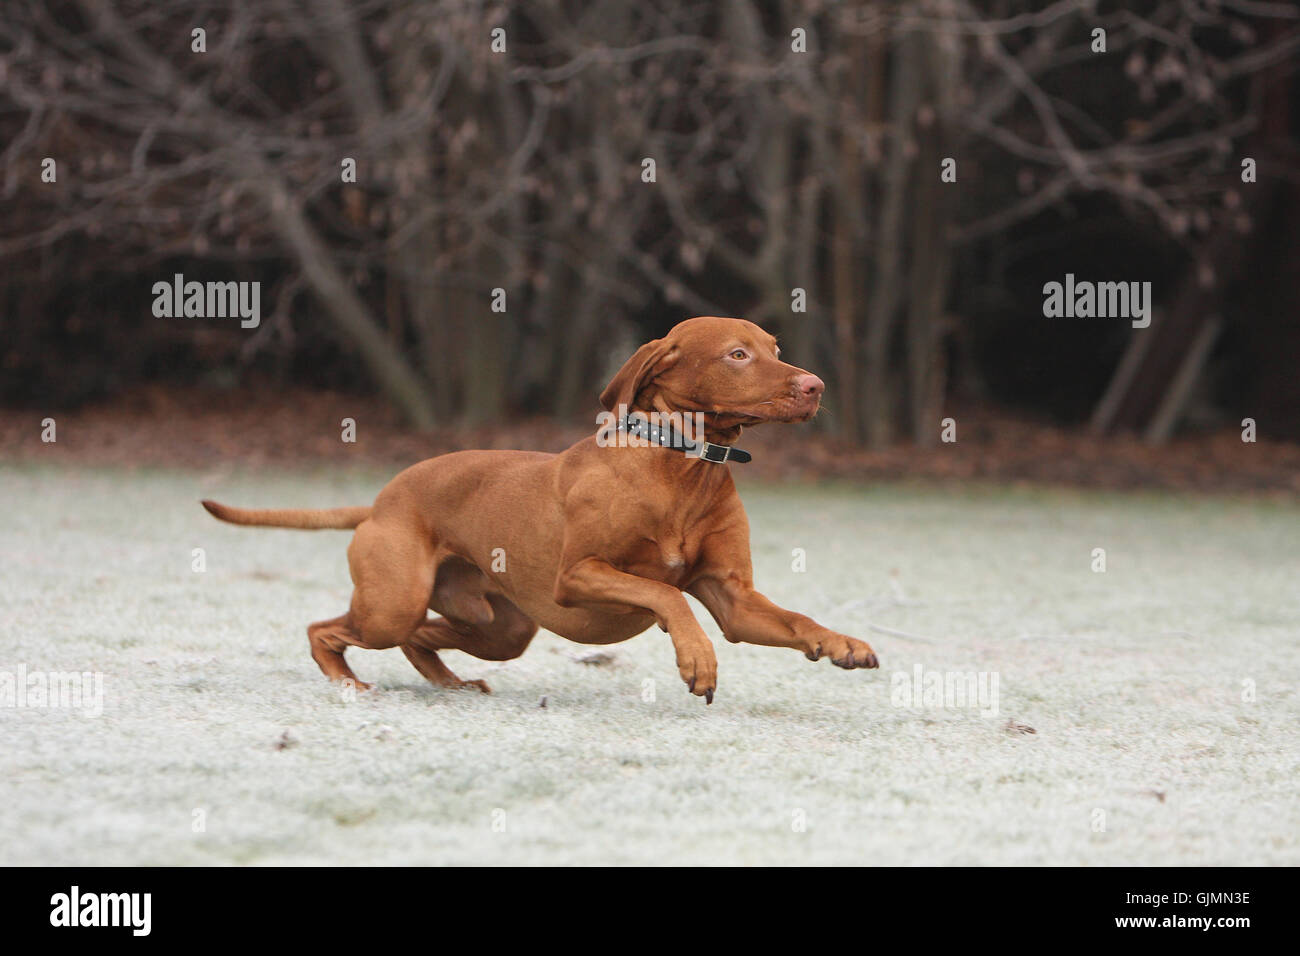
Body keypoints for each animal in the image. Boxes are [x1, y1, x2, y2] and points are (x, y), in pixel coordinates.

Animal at [197, 317, 878, 697]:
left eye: (775, 347)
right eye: (738, 354)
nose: (815, 385)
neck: (681, 468)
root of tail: (380, 501)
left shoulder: (735, 600)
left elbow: (795, 619)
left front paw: (839, 643)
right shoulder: (578, 575)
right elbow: (666, 592)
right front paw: (695, 655)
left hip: (498, 627)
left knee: (420, 638)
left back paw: (450, 683)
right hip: (394, 601)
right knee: (329, 629)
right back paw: (346, 682)